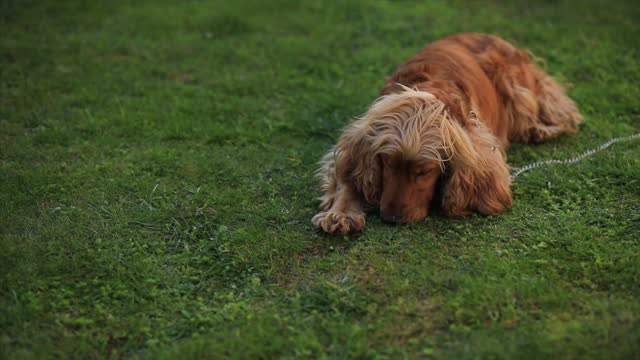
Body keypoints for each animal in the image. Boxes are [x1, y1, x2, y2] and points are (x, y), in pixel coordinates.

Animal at [312, 32, 584, 235]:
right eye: (386, 163)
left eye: (424, 171)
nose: (391, 218)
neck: (426, 88)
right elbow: (347, 176)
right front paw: (341, 213)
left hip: (514, 81)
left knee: (562, 113)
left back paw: (541, 130)